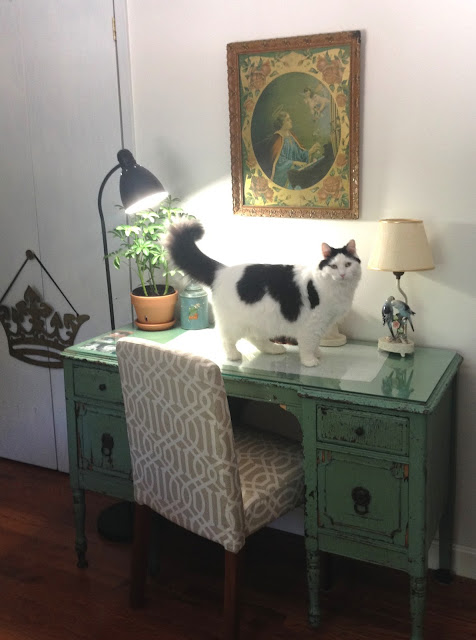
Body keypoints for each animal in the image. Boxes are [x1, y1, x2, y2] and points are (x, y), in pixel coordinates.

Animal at [165, 220, 361, 367]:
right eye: (333, 266)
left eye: (348, 264)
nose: (342, 274)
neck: (338, 290)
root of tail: (221, 270)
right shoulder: (312, 325)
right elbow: (307, 345)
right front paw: (309, 361)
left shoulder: (324, 324)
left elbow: (315, 344)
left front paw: (317, 353)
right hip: (235, 324)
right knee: (226, 338)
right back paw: (233, 355)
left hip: (260, 321)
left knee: (255, 338)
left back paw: (274, 349)